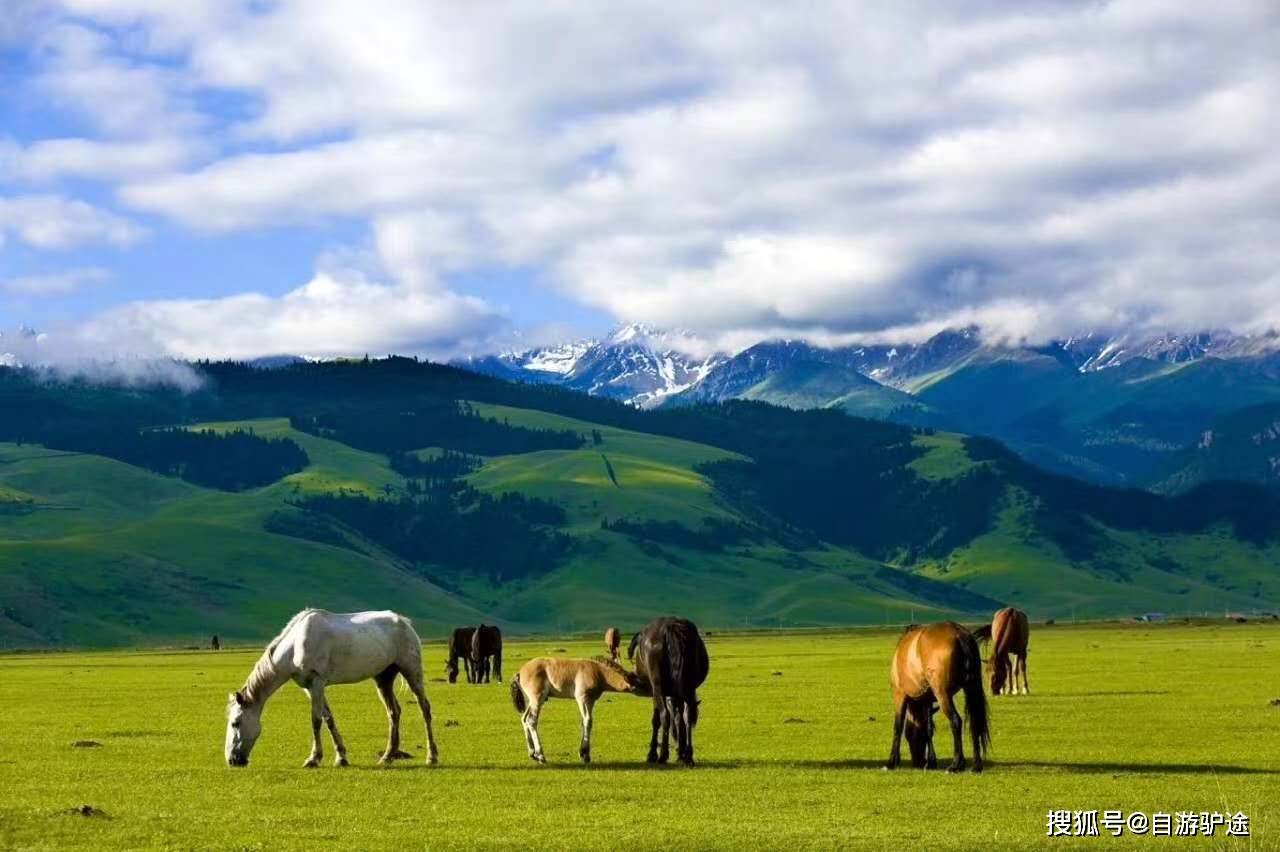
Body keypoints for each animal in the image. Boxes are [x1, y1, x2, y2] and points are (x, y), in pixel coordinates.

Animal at [230, 606, 445, 767]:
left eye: (236, 723)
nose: (232, 760)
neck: (295, 645)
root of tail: (403, 621)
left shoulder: (317, 682)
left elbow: (316, 720)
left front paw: (313, 758)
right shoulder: (310, 687)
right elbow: (328, 719)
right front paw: (341, 757)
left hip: (411, 671)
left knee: (425, 708)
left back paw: (431, 756)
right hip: (383, 678)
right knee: (394, 712)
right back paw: (387, 756)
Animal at [629, 614, 711, 757]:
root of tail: (670, 626)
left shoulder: (656, 691)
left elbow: (657, 719)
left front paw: (653, 752)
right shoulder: (676, 693)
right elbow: (679, 716)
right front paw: (681, 748)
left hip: (658, 687)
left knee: (665, 715)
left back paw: (663, 754)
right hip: (687, 686)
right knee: (687, 713)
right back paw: (687, 754)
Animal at [890, 616, 988, 767]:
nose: (918, 762)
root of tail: (959, 634)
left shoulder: (900, 694)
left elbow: (898, 726)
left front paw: (892, 761)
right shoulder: (927, 700)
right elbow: (929, 728)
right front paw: (931, 761)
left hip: (943, 694)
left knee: (956, 721)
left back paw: (956, 764)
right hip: (971, 689)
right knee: (974, 723)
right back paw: (976, 765)